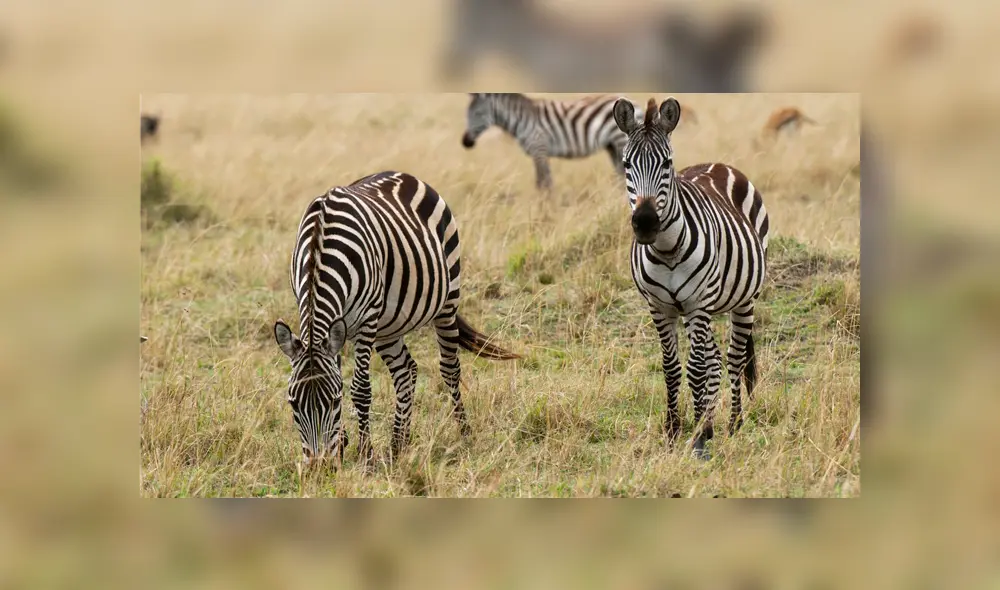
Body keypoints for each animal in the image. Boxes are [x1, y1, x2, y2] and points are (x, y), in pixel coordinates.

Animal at [273, 171, 519, 469]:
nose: (320, 467)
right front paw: (343, 445)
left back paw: (464, 433)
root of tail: (401, 174)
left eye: (334, 402)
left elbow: (361, 389)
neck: (320, 247)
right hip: (388, 325)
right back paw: (399, 443)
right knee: (406, 371)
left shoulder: (366, 320)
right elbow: (339, 372)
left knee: (450, 369)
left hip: (448, 297)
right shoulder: (334, 324)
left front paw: (366, 456)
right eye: (293, 404)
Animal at [461, 93, 645, 190]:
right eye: (467, 115)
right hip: (612, 146)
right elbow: (543, 183)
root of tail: (637, 104)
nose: (465, 143)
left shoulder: (539, 148)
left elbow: (544, 184)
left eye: (477, 114)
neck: (521, 119)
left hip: (619, 142)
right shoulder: (539, 153)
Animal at [612, 97, 770, 460]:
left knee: (733, 359)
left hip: (744, 300)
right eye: (626, 164)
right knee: (714, 359)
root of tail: (716, 164)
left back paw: (733, 424)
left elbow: (697, 368)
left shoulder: (698, 304)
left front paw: (697, 440)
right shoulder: (661, 307)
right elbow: (672, 368)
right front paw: (674, 430)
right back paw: (710, 424)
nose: (645, 223)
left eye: (667, 164)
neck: (667, 249)